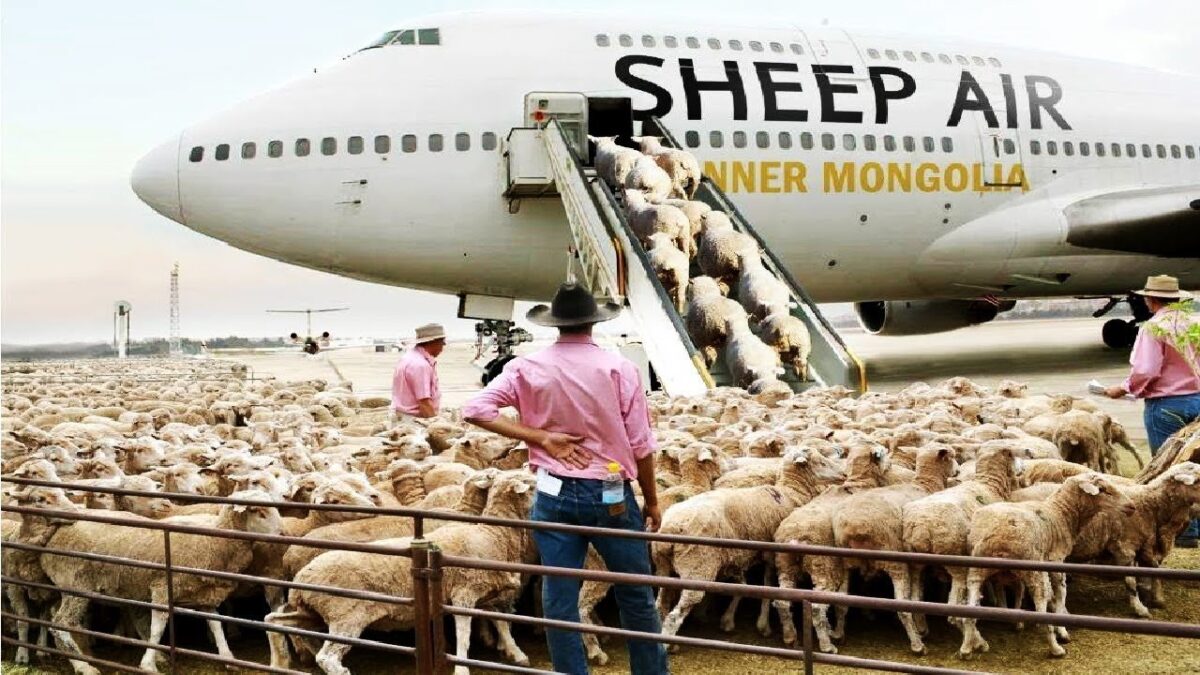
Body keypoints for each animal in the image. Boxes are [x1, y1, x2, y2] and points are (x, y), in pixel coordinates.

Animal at [40, 490, 281, 674]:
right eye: (260, 512)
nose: (282, 535)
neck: (213, 539)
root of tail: (59, 526)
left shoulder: (202, 592)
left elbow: (215, 624)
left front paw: (227, 656)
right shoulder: (162, 588)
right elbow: (158, 628)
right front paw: (148, 665)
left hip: (68, 585)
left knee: (55, 616)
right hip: (76, 584)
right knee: (61, 623)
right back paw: (84, 666)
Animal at [654, 447, 846, 644]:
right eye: (821, 462)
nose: (844, 474)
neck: (789, 493)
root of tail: (672, 526)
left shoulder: (740, 559)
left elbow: (742, 586)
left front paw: (728, 620)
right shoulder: (770, 555)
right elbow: (767, 585)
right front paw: (764, 625)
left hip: (663, 567)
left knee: (659, 603)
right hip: (697, 566)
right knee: (675, 615)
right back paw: (667, 643)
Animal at [958, 473, 1132, 659]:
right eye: (1103, 489)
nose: (1132, 506)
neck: (1060, 513)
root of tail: (999, 537)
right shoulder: (1056, 562)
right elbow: (1060, 595)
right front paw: (1062, 630)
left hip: (977, 569)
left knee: (969, 611)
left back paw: (966, 647)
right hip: (1032, 569)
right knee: (1041, 606)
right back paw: (1055, 648)